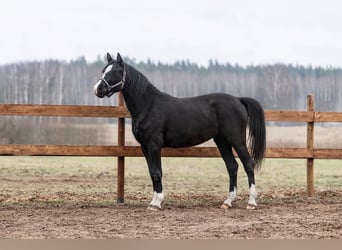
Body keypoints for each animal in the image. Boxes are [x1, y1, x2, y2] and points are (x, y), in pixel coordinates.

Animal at [94, 52, 268, 209]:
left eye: (116, 71)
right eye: (103, 70)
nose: (98, 89)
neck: (148, 105)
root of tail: (238, 100)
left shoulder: (154, 145)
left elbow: (157, 172)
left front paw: (157, 203)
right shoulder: (144, 147)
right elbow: (151, 172)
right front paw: (153, 201)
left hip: (236, 139)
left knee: (248, 164)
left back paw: (252, 202)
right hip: (222, 141)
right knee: (232, 166)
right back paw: (228, 202)